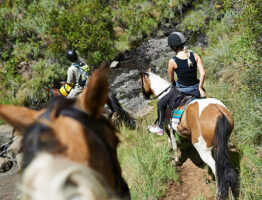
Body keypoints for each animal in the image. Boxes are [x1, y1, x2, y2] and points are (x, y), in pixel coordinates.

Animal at [139, 71, 237, 199]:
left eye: (140, 82)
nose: (144, 96)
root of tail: (219, 113)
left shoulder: (168, 128)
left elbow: (174, 145)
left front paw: (175, 161)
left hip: (202, 149)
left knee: (215, 166)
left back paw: (218, 191)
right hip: (220, 145)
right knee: (223, 166)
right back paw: (213, 181)